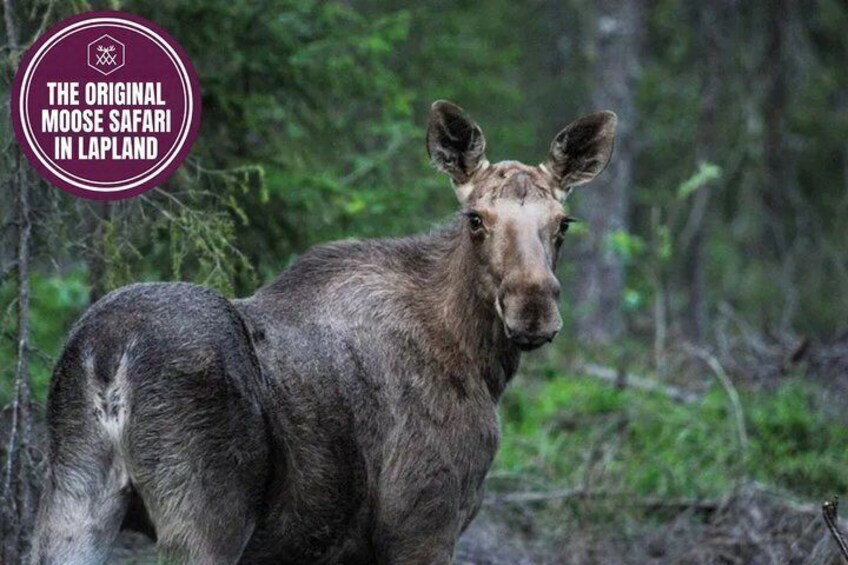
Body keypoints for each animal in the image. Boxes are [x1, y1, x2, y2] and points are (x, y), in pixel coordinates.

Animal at [31, 101, 616, 564]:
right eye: (475, 218)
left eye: (563, 223)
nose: (532, 309)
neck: (480, 361)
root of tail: (111, 358)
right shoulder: (423, 522)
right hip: (204, 514)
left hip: (72, 499)